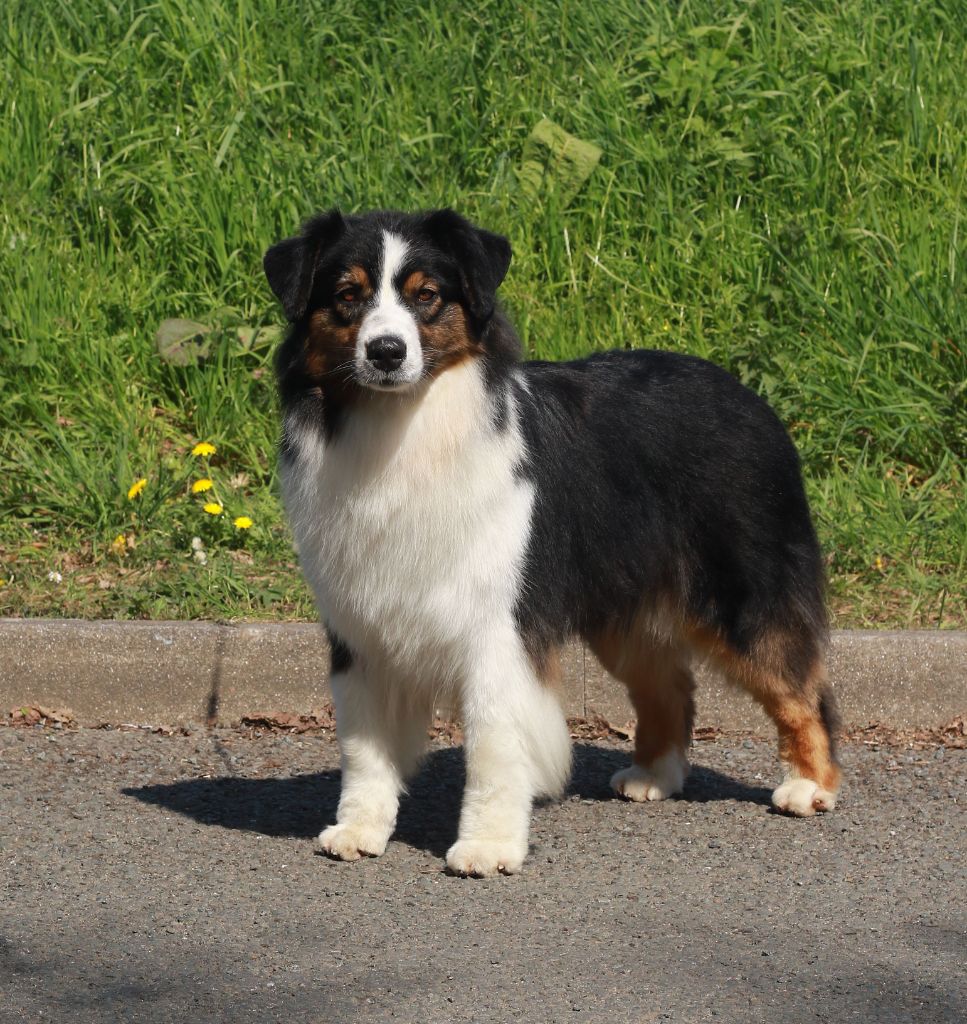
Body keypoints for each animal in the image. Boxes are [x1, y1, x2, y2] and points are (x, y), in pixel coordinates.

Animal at [262, 209, 839, 880]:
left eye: (426, 295)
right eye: (347, 295)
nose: (386, 351)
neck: (404, 427)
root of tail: (746, 394)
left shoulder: (500, 625)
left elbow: (492, 743)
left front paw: (487, 845)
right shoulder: (361, 625)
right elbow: (365, 747)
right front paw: (359, 828)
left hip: (743, 595)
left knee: (802, 687)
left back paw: (810, 785)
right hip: (623, 609)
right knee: (670, 685)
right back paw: (655, 774)